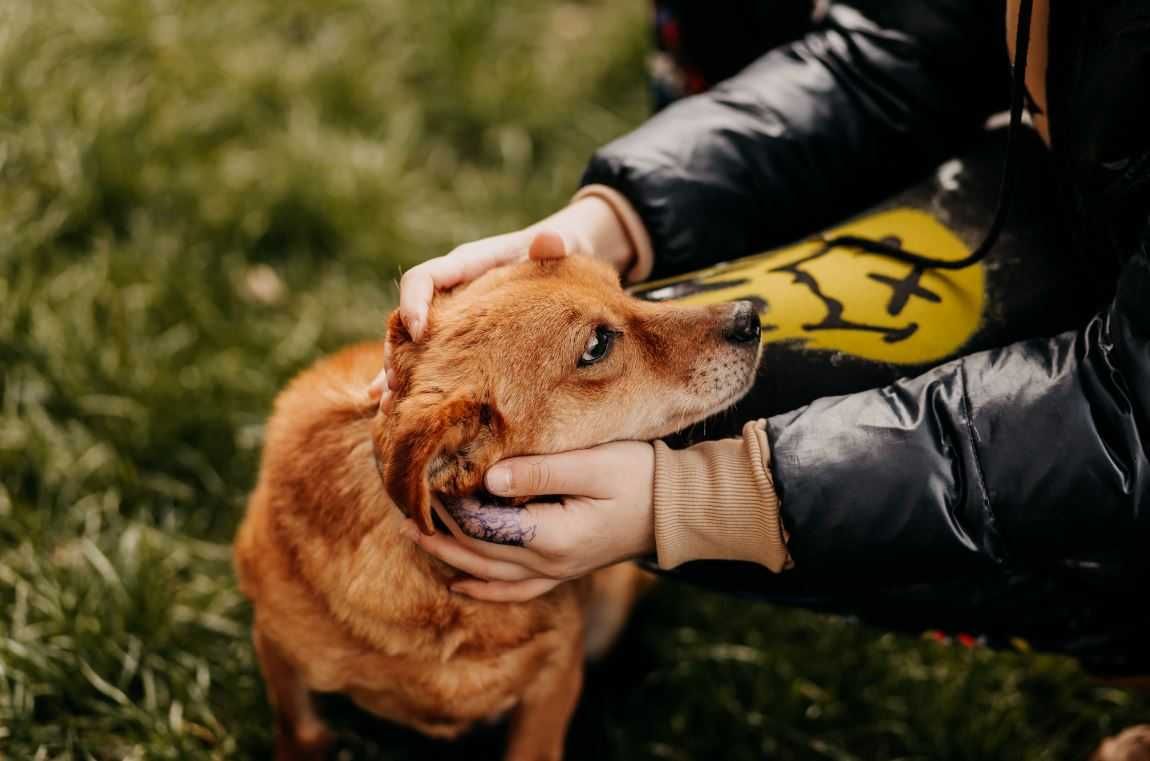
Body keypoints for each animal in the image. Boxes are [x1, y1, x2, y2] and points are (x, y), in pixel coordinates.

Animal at [233, 252, 763, 758]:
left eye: (619, 287)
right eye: (597, 345)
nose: (750, 315)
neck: (445, 596)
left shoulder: (555, 676)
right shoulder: (275, 648)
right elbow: (300, 731)